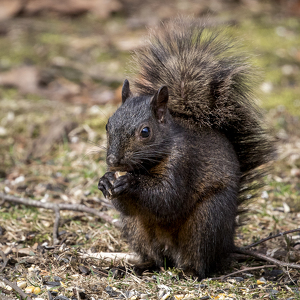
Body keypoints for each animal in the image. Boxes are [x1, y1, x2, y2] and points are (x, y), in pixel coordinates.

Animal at [97, 16, 274, 278]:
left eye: (145, 132)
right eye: (108, 125)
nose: (113, 162)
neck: (151, 163)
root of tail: (228, 244)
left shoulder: (184, 163)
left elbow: (168, 198)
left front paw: (130, 183)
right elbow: (129, 206)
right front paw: (105, 181)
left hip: (207, 221)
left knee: (199, 260)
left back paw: (188, 271)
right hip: (137, 230)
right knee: (156, 258)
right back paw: (139, 266)